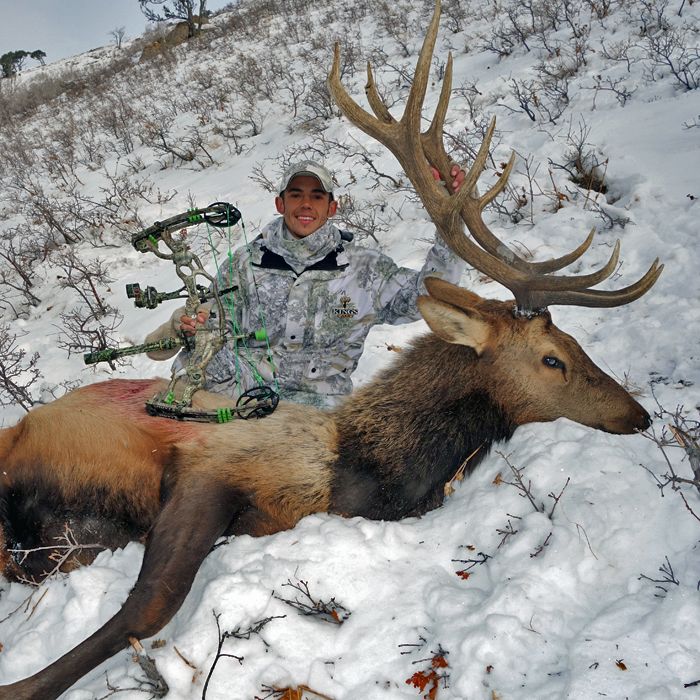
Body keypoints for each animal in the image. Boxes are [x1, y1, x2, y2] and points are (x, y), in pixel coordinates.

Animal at [0, 2, 660, 696]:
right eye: (553, 359)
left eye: (574, 343)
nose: (638, 415)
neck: (363, 473)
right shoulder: (211, 467)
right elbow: (148, 605)